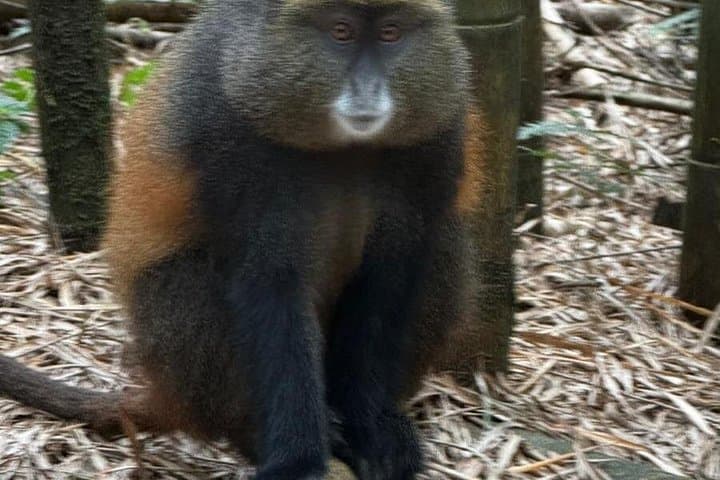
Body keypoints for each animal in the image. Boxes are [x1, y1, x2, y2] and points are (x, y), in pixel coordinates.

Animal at [0, 1, 487, 478]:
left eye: (390, 34)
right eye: (341, 31)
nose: (367, 89)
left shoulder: (440, 130)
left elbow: (390, 275)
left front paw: (373, 431)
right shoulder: (227, 135)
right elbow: (269, 283)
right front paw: (298, 460)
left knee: (444, 245)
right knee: (188, 277)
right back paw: (255, 435)